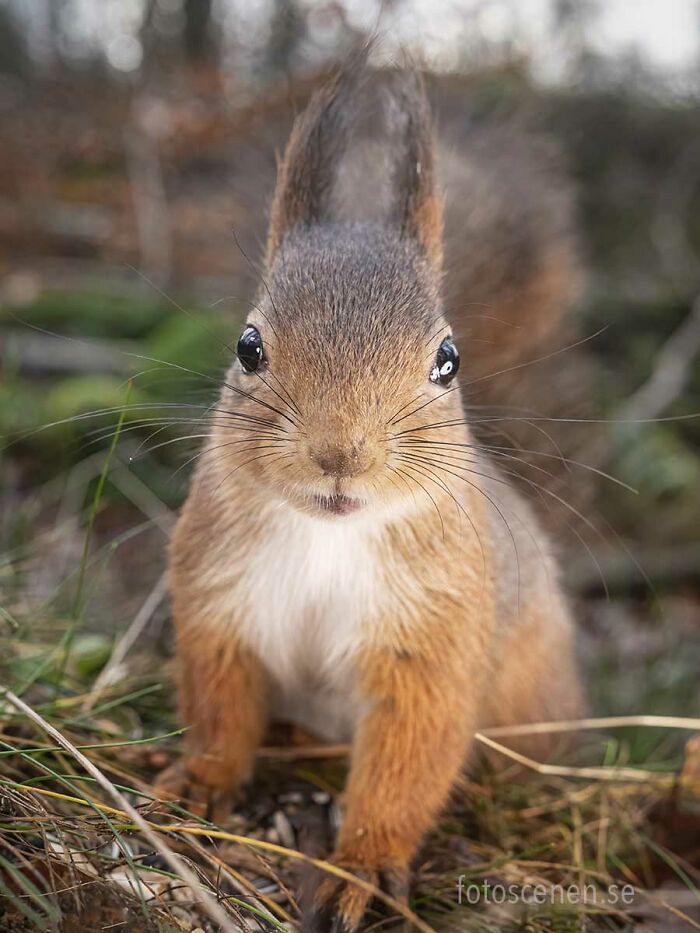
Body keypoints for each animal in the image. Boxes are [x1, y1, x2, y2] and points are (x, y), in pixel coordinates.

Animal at [156, 63, 584, 931]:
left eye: (449, 359)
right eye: (247, 347)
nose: (339, 453)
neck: (330, 535)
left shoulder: (435, 639)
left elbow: (408, 759)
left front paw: (360, 865)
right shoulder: (217, 600)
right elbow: (219, 708)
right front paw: (201, 783)